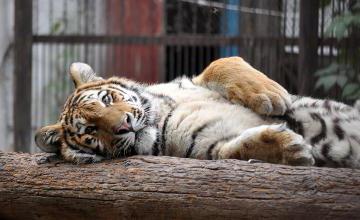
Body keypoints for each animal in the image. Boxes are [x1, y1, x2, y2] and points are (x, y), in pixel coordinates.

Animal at [35, 56, 360, 168]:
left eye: (106, 99)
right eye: (91, 131)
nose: (124, 126)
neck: (160, 116)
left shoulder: (194, 81)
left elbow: (221, 62)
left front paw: (271, 94)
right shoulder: (207, 147)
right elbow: (234, 150)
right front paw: (290, 149)